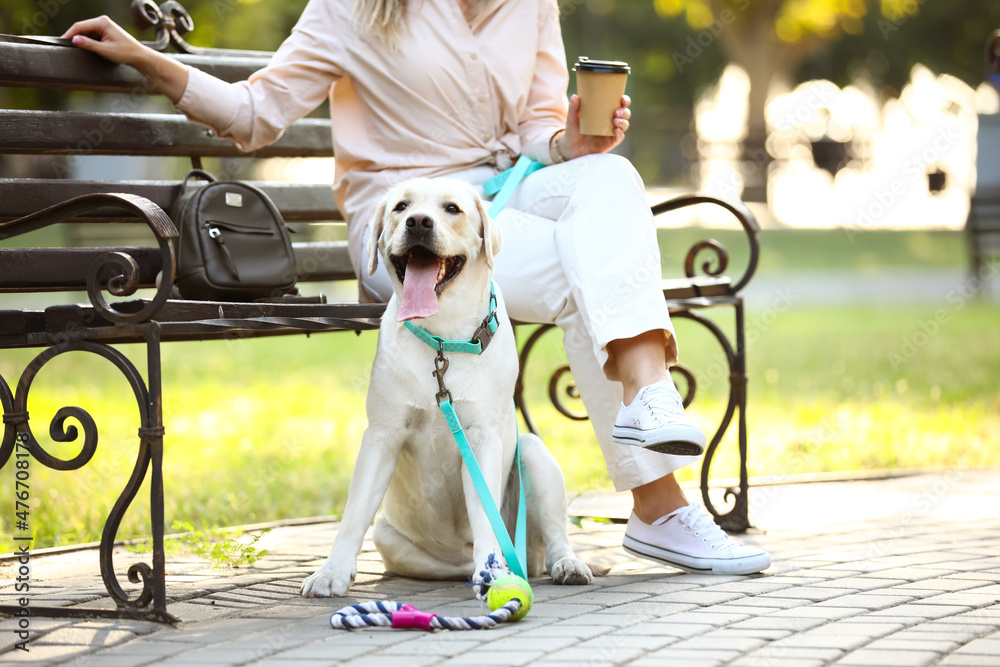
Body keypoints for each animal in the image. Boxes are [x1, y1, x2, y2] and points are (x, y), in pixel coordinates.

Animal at [300, 179, 588, 600]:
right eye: (401, 207)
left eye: (452, 209)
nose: (419, 222)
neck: (443, 338)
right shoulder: (382, 436)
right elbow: (353, 514)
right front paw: (331, 572)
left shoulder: (482, 437)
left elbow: (483, 510)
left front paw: (494, 572)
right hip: (390, 538)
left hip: (533, 454)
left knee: (554, 536)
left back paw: (562, 564)